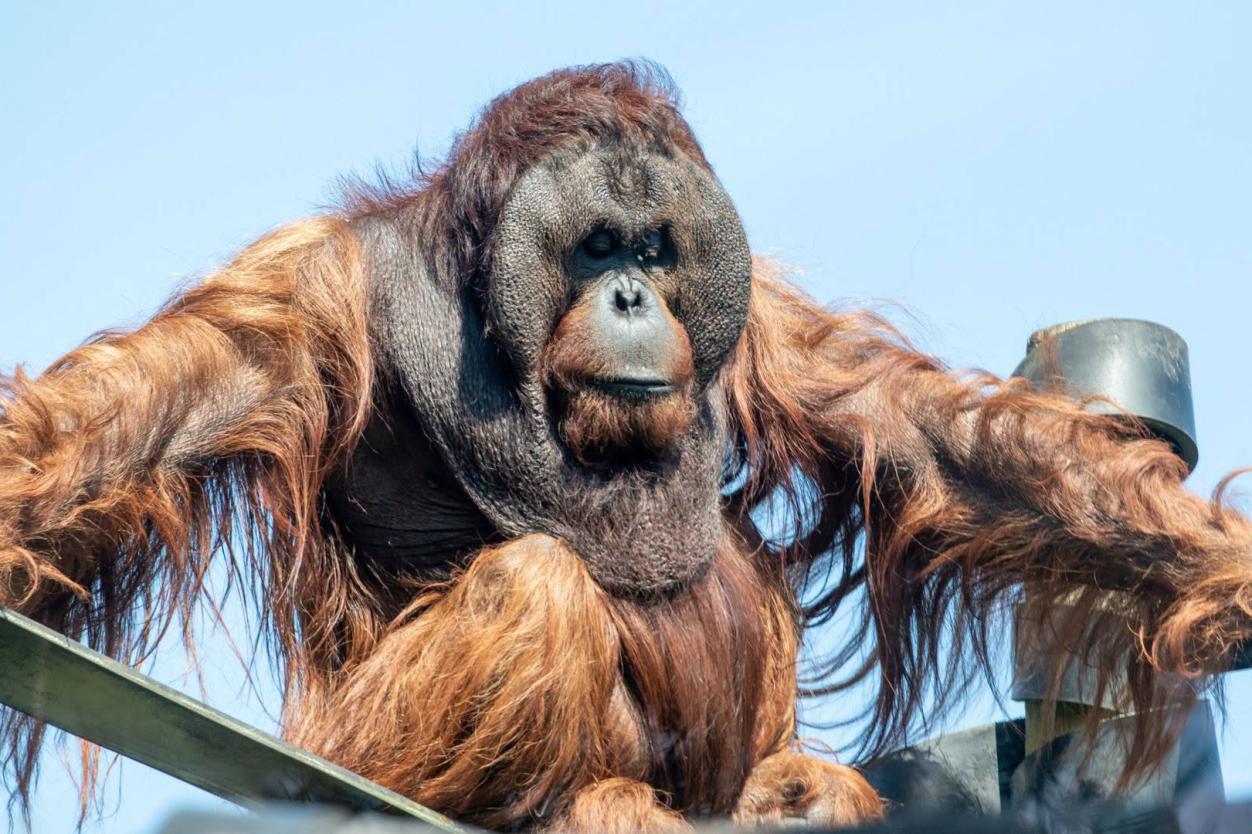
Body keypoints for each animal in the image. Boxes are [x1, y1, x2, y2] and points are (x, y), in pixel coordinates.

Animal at [2, 61, 1251, 831]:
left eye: (654, 245)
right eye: (596, 243)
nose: (635, 295)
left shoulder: (762, 321)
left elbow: (932, 440)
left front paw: (1228, 583)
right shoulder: (300, 295)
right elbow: (139, 417)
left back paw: (782, 803)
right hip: (360, 753)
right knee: (538, 588)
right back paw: (574, 808)